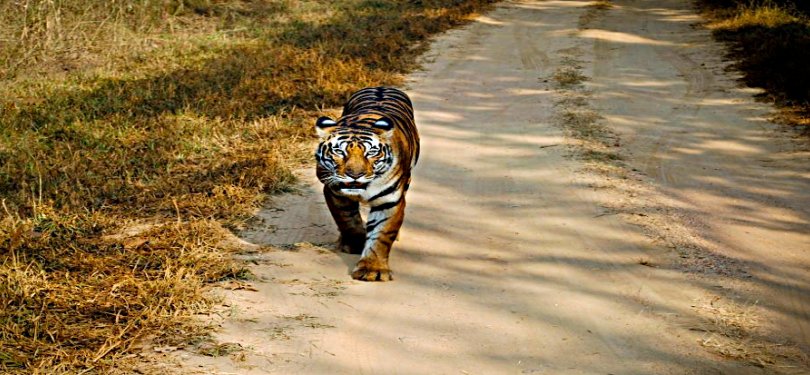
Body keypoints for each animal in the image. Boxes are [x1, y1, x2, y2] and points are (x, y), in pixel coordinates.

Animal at [314, 87, 420, 282]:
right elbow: (347, 221)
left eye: (371, 153)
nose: (355, 175)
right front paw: (356, 243)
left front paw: (373, 269)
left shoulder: (389, 201)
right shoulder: (334, 192)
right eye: (339, 151)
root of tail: (382, 87)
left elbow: (381, 235)